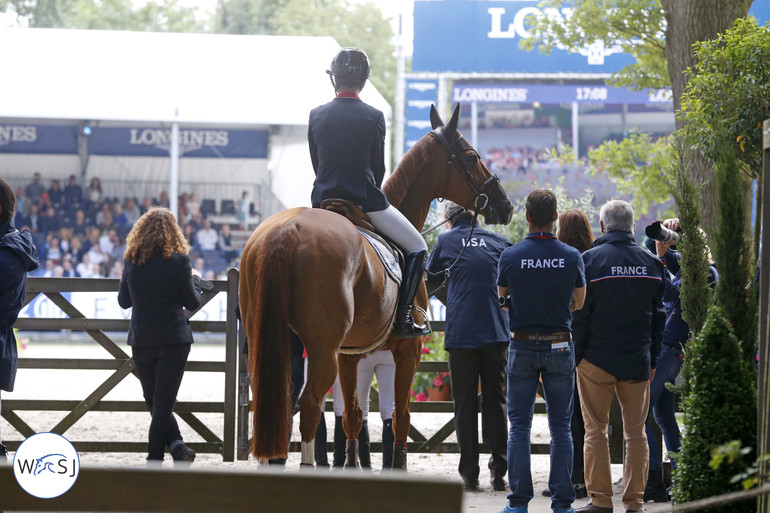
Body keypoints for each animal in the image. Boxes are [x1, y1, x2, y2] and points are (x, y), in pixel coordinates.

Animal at [238, 103, 510, 468]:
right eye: (470, 157)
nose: (505, 206)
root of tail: (288, 229)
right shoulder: (408, 351)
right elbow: (400, 418)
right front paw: (397, 467)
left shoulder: (350, 354)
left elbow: (354, 416)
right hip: (321, 350)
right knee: (309, 404)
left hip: (271, 338)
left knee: (273, 403)